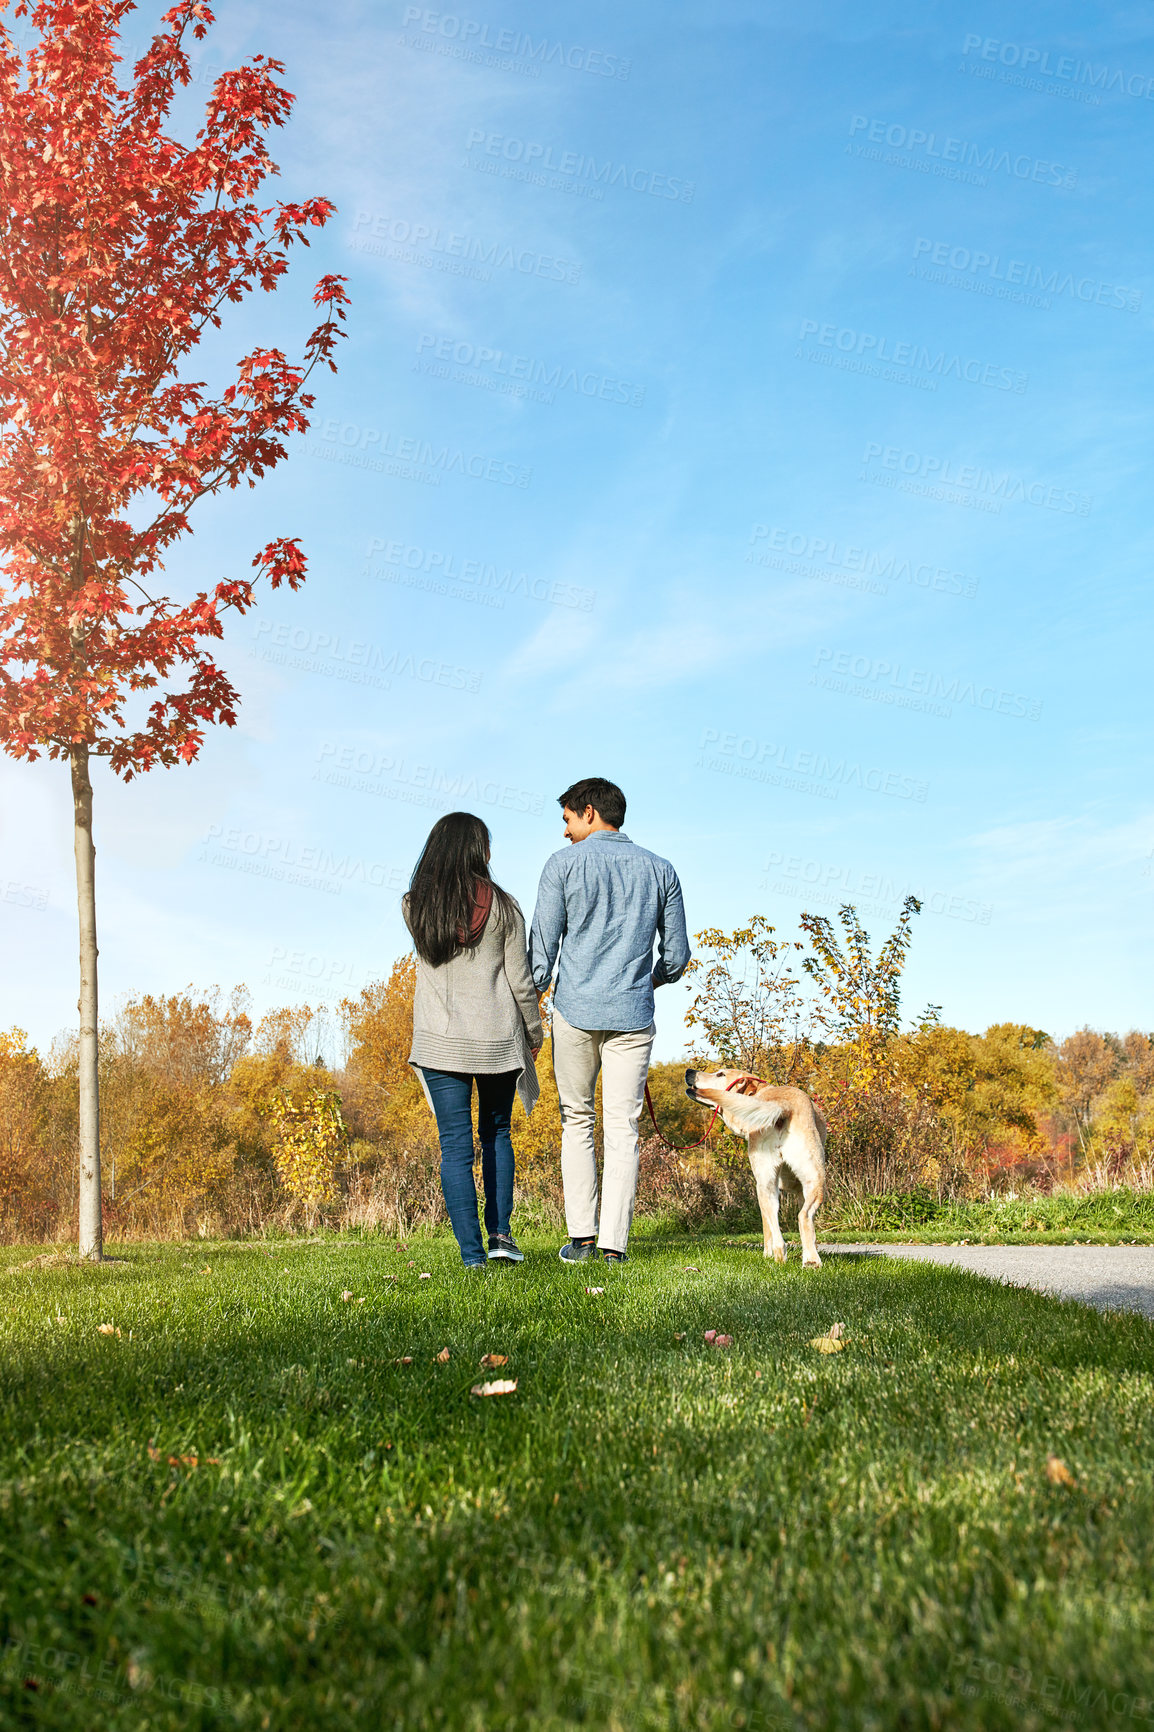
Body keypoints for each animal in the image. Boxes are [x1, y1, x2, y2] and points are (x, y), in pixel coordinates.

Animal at [679, 1059, 821, 1267]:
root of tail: (782, 1105)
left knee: (776, 1221)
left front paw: (767, 1254)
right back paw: (810, 1260)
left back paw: (779, 1256)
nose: (688, 1070)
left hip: (765, 1183)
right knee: (803, 1215)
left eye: (720, 1074)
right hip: (812, 1178)